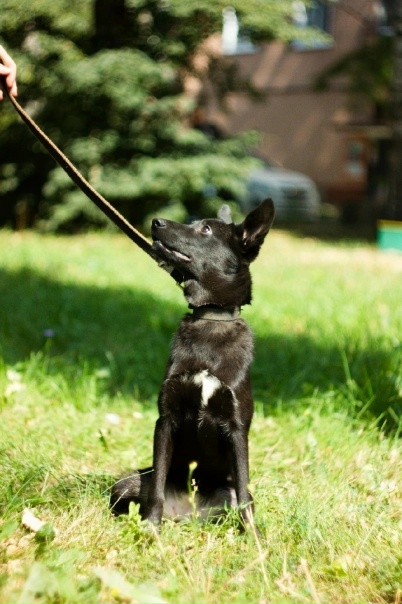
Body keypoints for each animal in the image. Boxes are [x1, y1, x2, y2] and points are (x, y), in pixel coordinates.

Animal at [110, 199, 274, 528]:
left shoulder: (237, 428)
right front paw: (151, 528)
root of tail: (189, 514)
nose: (156, 222)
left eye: (206, 229)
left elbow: (245, 497)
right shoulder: (166, 420)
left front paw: (254, 538)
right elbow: (157, 487)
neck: (211, 320)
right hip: (124, 484)